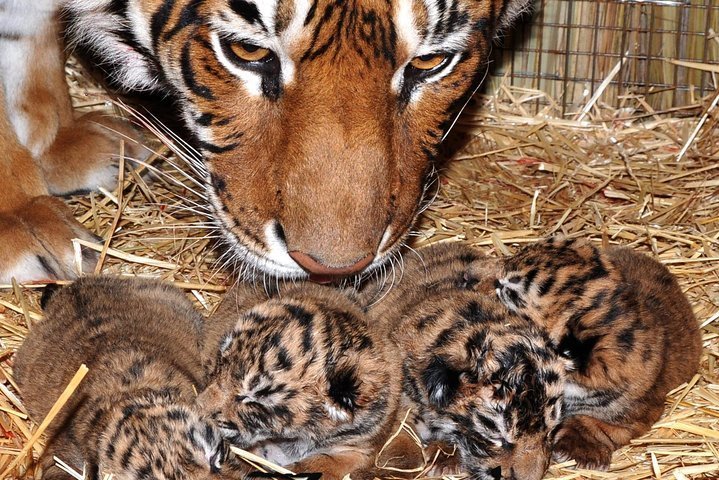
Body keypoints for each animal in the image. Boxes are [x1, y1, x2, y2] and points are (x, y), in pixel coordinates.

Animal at [0, 0, 528, 284]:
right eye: (247, 52)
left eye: (429, 62)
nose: (331, 269)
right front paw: (21, 221)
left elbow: (29, 42)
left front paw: (55, 145)